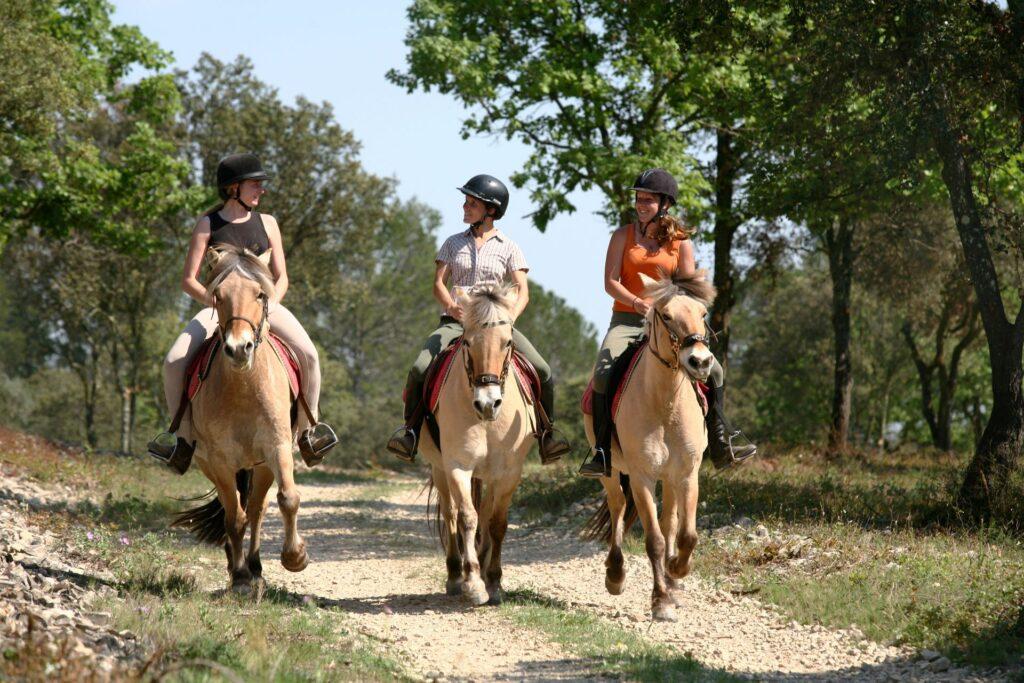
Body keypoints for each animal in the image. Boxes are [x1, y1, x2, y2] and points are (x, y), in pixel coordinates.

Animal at [171, 245, 308, 593]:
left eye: (260, 294)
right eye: (218, 296)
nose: (238, 349)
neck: (243, 387)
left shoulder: (277, 448)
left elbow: (288, 498)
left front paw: (295, 557)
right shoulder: (219, 461)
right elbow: (234, 517)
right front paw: (240, 577)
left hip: (260, 467)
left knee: (257, 510)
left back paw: (256, 567)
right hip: (215, 465)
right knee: (235, 511)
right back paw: (239, 570)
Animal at [421, 282, 534, 606]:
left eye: (508, 342)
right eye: (468, 343)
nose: (487, 403)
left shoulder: (509, 472)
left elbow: (496, 522)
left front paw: (493, 581)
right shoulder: (458, 466)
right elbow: (467, 517)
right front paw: (472, 582)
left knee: (484, 513)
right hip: (439, 468)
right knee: (450, 514)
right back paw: (455, 575)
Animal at [583, 271, 717, 621]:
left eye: (703, 313)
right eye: (666, 315)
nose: (700, 362)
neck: (665, 403)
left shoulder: (687, 474)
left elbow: (685, 534)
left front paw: (677, 573)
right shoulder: (642, 476)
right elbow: (654, 540)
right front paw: (660, 602)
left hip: (668, 478)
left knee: (670, 521)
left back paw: (672, 580)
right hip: (612, 472)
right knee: (617, 507)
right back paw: (615, 574)